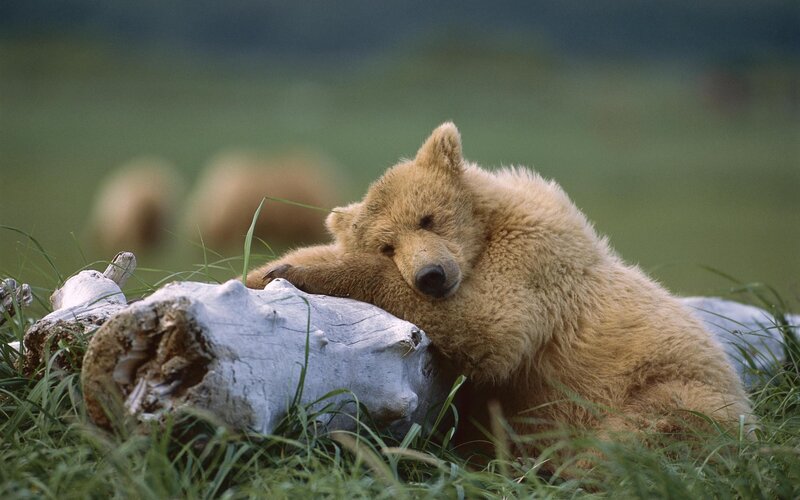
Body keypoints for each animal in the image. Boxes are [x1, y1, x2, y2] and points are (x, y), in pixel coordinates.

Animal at [246, 122, 752, 462]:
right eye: (387, 245)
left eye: (428, 218)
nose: (430, 276)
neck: (486, 232)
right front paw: (267, 269)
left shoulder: (534, 261)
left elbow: (490, 326)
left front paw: (301, 272)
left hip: (673, 386)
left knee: (645, 432)